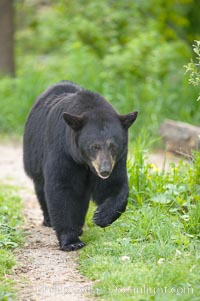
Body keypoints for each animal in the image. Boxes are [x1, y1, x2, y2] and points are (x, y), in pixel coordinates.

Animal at [23, 80, 138, 251]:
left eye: (113, 146)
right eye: (94, 146)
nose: (104, 170)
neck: (84, 162)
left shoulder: (117, 160)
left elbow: (115, 185)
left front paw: (101, 216)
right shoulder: (62, 150)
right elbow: (62, 189)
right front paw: (71, 241)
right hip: (33, 156)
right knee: (41, 188)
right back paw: (49, 220)